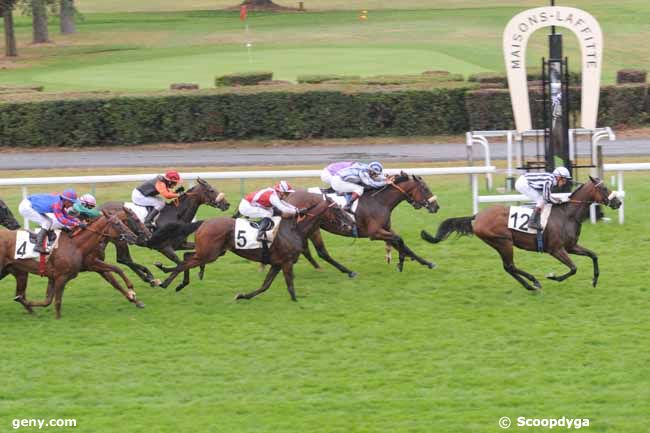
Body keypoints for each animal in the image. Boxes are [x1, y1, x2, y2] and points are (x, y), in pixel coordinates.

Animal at [0, 209, 142, 318]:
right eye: (117, 223)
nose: (135, 237)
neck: (75, 245)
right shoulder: (63, 276)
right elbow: (56, 301)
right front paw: (58, 320)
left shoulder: (88, 266)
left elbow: (116, 274)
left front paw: (134, 298)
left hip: (16, 272)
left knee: (20, 293)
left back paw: (28, 308)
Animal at [101, 177, 230, 286]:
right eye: (211, 190)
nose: (227, 204)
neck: (175, 215)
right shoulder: (163, 247)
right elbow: (180, 263)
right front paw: (175, 283)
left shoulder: (180, 244)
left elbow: (194, 255)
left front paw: (199, 272)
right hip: (118, 238)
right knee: (123, 259)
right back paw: (149, 277)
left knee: (123, 259)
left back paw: (148, 278)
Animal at [156, 194, 354, 298]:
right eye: (337, 209)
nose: (350, 223)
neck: (294, 228)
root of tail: (204, 222)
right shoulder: (286, 262)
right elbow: (289, 285)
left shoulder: (278, 263)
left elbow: (266, 285)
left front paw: (243, 296)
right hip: (209, 253)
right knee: (184, 262)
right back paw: (164, 276)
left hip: (212, 252)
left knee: (186, 258)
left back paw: (176, 282)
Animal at [290, 171, 438, 276]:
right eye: (425, 189)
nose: (436, 207)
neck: (379, 201)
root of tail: (289, 196)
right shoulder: (374, 233)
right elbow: (399, 240)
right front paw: (401, 262)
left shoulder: (386, 229)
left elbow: (402, 244)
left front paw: (426, 262)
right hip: (313, 228)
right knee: (321, 252)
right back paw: (346, 271)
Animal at [418, 176, 620, 290]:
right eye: (604, 188)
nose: (618, 202)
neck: (567, 215)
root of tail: (477, 216)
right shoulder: (556, 250)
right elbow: (573, 268)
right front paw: (553, 276)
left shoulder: (570, 246)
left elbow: (593, 255)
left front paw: (594, 280)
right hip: (504, 242)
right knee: (510, 266)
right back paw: (533, 283)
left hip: (500, 244)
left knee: (508, 267)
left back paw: (530, 284)